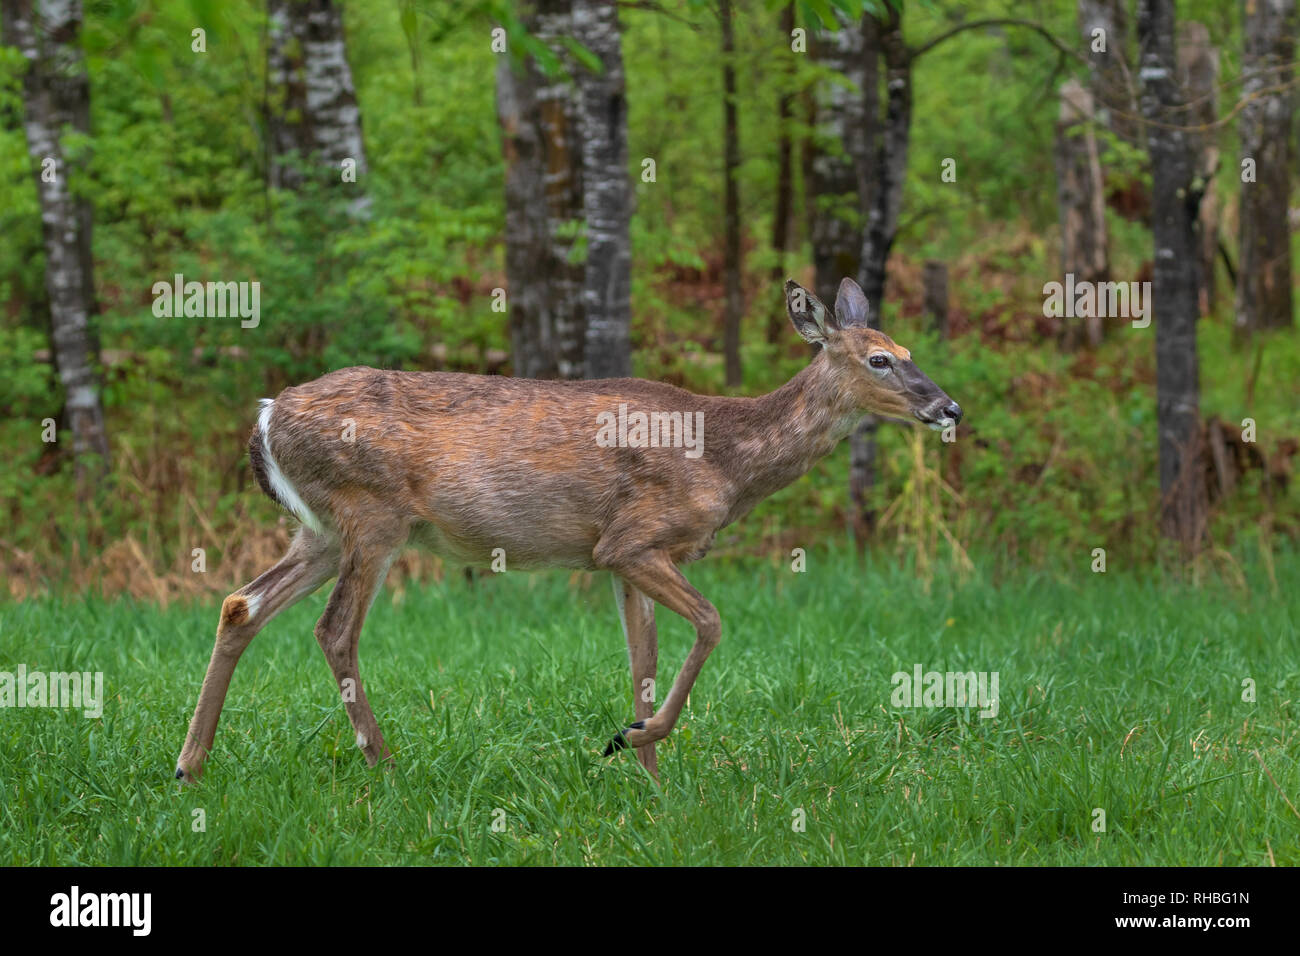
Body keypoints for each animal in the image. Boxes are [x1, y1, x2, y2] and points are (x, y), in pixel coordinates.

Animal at [178, 278, 961, 785]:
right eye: (879, 359)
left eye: (909, 348)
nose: (949, 407)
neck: (726, 457)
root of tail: (266, 415)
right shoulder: (634, 539)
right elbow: (710, 622)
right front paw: (637, 739)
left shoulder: (618, 558)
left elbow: (643, 657)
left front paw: (649, 776)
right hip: (372, 514)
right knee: (334, 629)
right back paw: (385, 764)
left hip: (320, 530)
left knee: (241, 603)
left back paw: (191, 764)